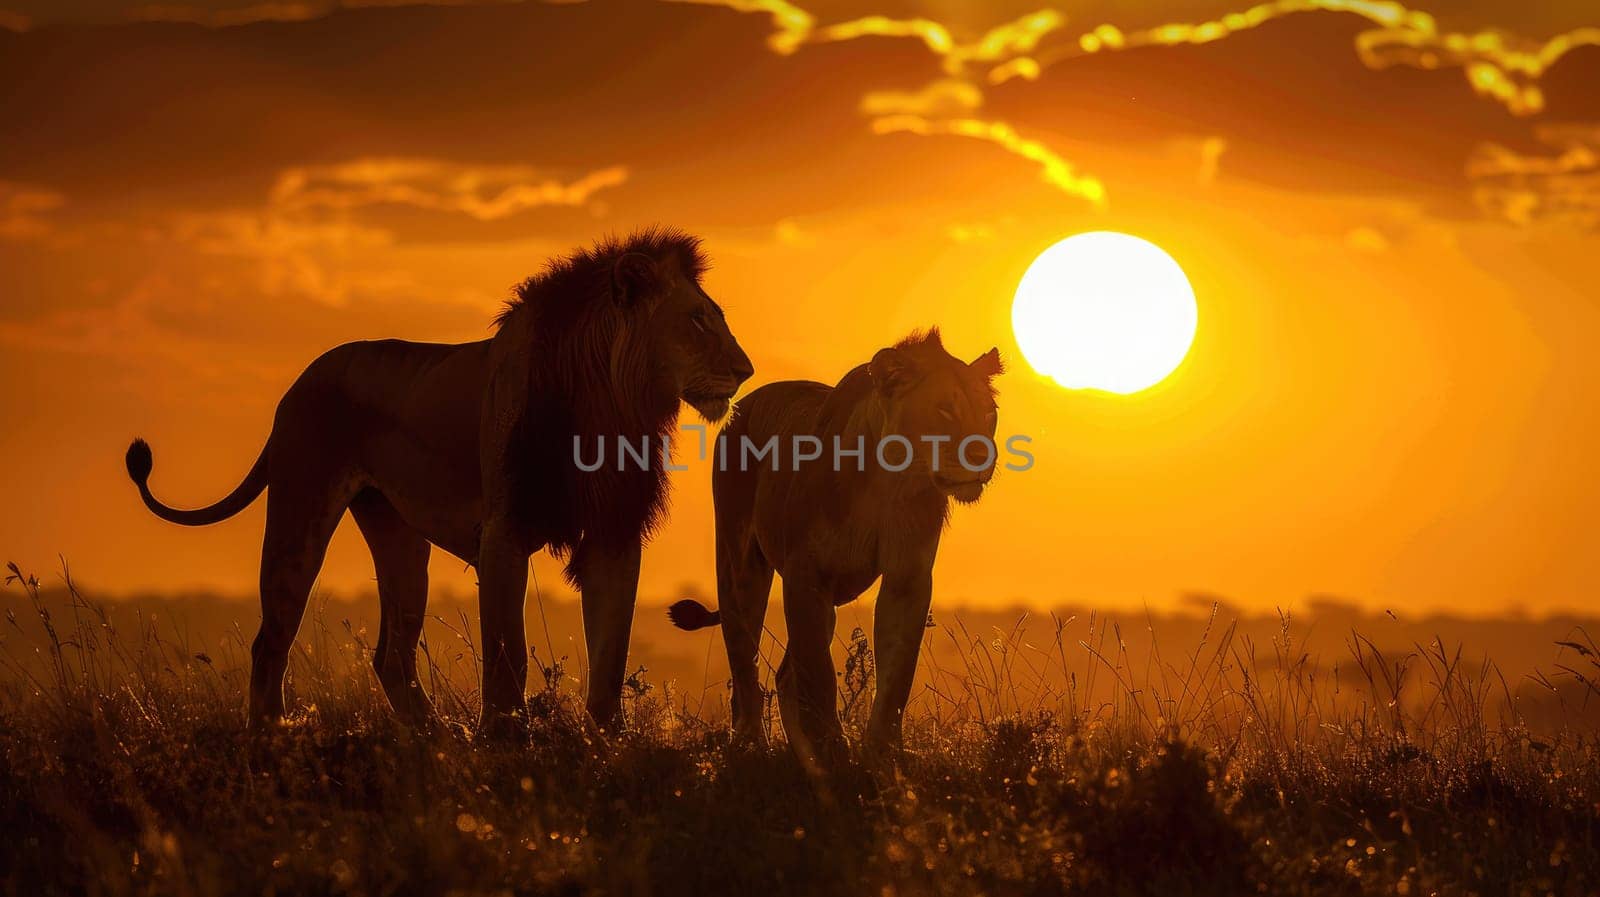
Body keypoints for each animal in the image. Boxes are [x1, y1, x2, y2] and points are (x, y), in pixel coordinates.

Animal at [128, 227, 752, 732]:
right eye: (698, 319)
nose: (746, 371)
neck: (611, 407)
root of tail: (301, 380)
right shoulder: (503, 531)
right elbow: (507, 650)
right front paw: (503, 738)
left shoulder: (613, 532)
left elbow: (611, 648)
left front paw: (606, 742)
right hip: (299, 513)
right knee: (271, 639)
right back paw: (272, 738)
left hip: (399, 538)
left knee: (390, 654)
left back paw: (435, 739)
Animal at [665, 329, 992, 761]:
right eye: (944, 410)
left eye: (988, 414)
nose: (982, 455)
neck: (891, 479)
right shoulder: (805, 575)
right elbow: (818, 670)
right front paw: (834, 748)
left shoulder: (908, 575)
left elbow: (897, 669)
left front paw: (882, 749)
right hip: (740, 566)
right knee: (744, 657)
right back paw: (752, 743)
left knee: (785, 672)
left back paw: (800, 751)